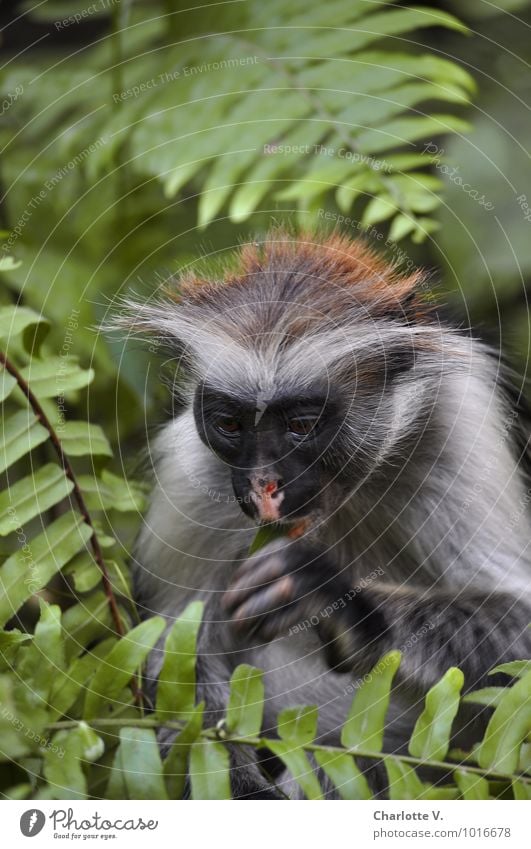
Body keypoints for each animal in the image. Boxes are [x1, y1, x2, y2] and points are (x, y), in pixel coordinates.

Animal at [120, 230, 531, 796]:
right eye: (230, 423)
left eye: (300, 426)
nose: (263, 487)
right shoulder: (194, 474)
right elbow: (179, 658)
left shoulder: (455, 426)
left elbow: (520, 620)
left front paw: (342, 604)